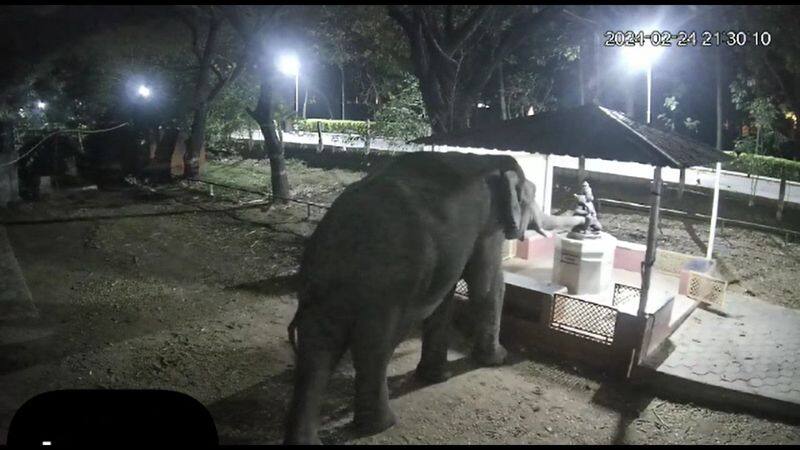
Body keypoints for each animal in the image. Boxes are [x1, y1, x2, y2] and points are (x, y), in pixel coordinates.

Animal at [284, 150, 584, 442]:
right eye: (531, 196)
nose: (584, 216)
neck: (489, 158)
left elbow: (445, 298)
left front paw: (437, 377)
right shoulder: (487, 224)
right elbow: (487, 286)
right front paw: (497, 359)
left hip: (324, 293)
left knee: (316, 353)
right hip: (382, 290)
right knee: (373, 348)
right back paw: (382, 425)